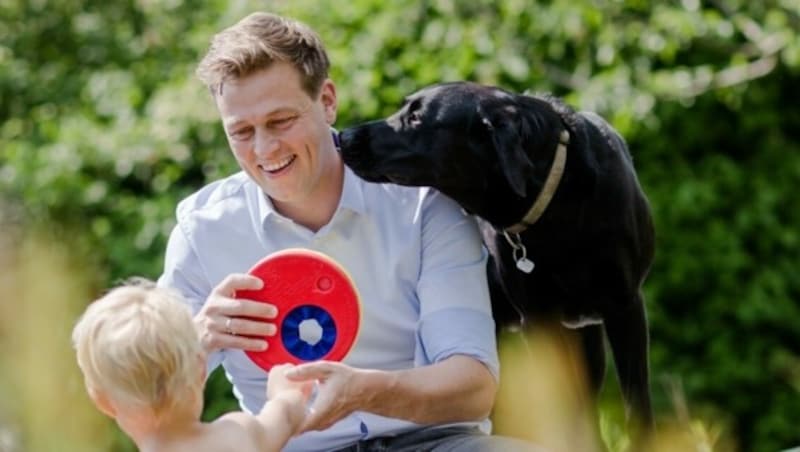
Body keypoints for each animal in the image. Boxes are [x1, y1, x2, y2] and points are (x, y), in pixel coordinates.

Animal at [338, 82, 656, 428]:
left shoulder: (625, 306)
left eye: (416, 117)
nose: (343, 137)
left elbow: (636, 411)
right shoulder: (539, 322)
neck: (555, 209)